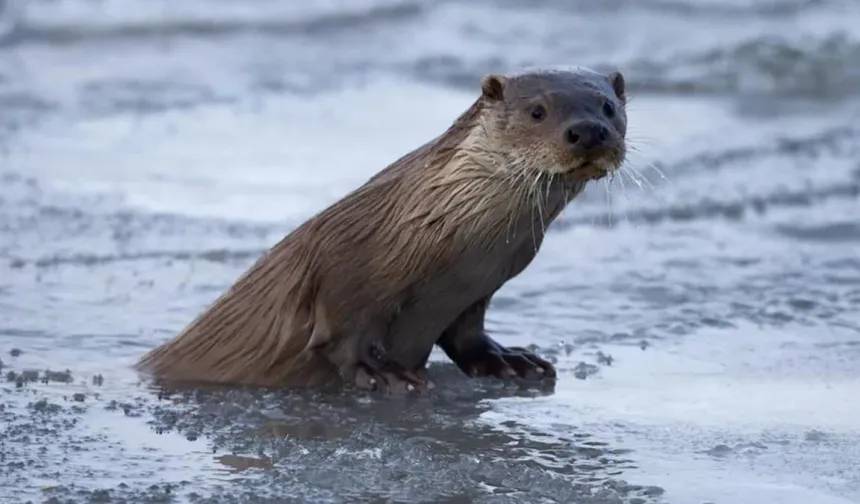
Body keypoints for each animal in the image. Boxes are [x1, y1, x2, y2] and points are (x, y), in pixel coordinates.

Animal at [138, 66, 628, 394]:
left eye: (609, 107)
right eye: (537, 111)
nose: (588, 131)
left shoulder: (479, 286)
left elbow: (467, 334)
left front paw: (510, 360)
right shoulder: (342, 265)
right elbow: (342, 333)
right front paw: (383, 373)